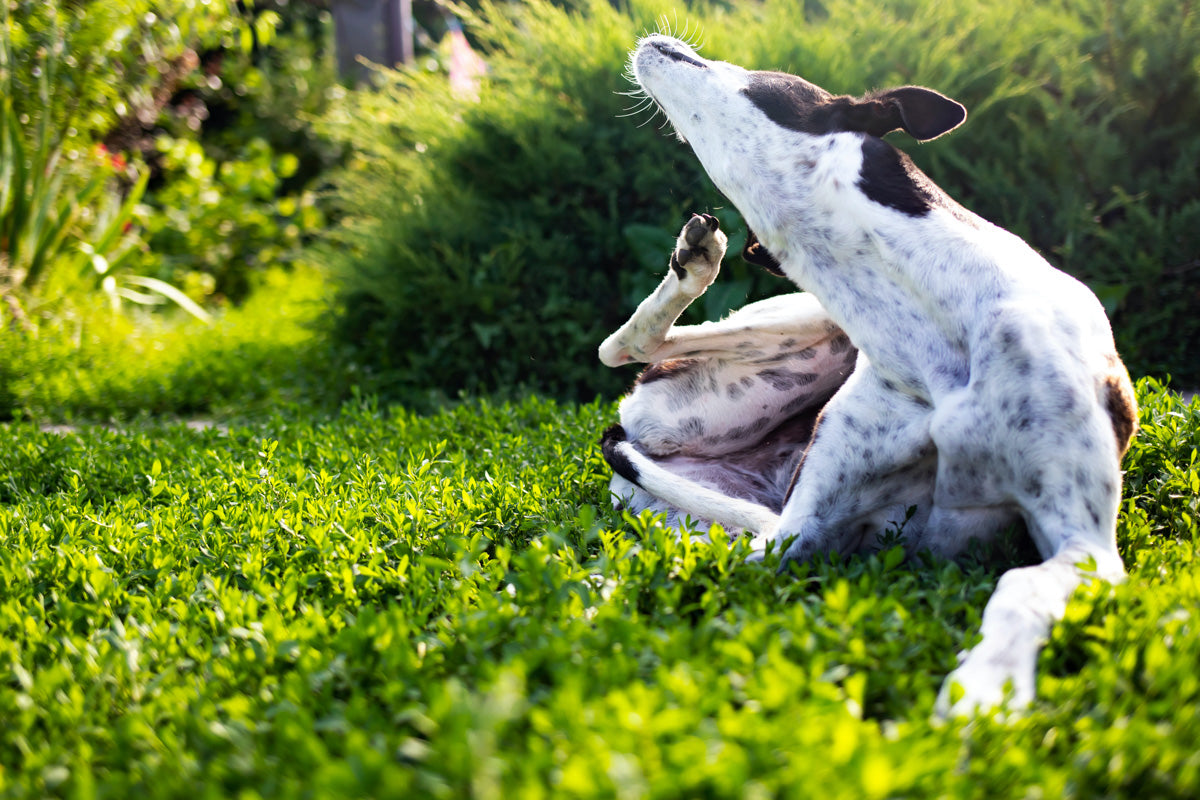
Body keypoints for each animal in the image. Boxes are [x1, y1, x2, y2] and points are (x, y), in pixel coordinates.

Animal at [600, 34, 1132, 714]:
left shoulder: (1084, 544)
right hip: (792, 336)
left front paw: (985, 687)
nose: (651, 41)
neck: (930, 342)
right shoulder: (800, 534)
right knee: (624, 348)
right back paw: (692, 265)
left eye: (763, 74)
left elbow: (1018, 586)